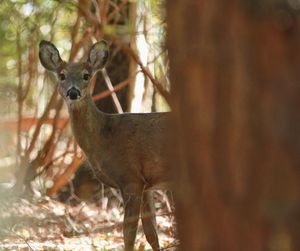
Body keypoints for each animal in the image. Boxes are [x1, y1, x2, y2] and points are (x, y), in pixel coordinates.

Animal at [39, 40, 171, 250]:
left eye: (86, 75)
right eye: (62, 75)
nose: (73, 92)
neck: (105, 137)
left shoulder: (131, 177)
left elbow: (129, 233)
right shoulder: (147, 185)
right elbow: (152, 233)